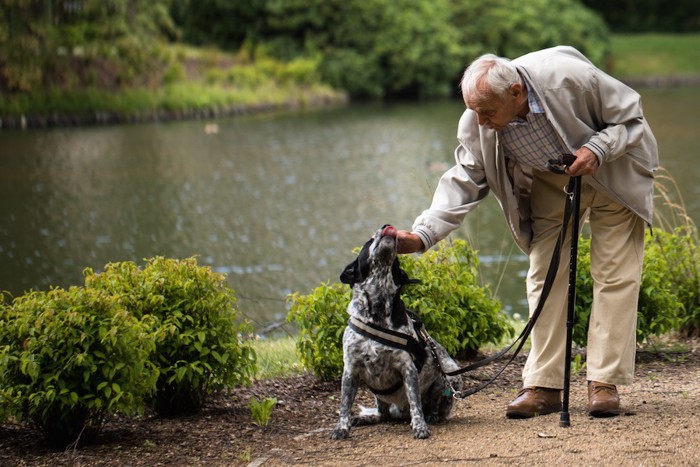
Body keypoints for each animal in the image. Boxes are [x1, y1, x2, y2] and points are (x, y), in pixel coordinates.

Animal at [330, 225, 462, 440]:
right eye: (369, 241)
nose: (386, 226)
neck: (377, 310)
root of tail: (399, 411)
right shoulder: (350, 369)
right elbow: (344, 404)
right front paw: (342, 427)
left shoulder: (407, 368)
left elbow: (415, 402)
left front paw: (420, 426)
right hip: (379, 396)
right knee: (383, 414)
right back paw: (366, 418)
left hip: (451, 375)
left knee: (434, 406)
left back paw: (431, 417)